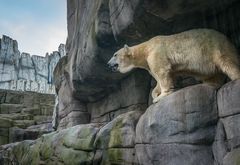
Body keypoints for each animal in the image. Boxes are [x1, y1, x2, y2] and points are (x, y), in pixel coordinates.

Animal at [108, 29, 240, 102]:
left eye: (115, 54)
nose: (108, 64)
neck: (146, 49)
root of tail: (226, 38)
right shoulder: (149, 63)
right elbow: (160, 77)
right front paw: (155, 93)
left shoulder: (156, 53)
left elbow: (162, 72)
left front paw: (161, 96)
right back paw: (211, 84)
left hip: (215, 47)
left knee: (228, 62)